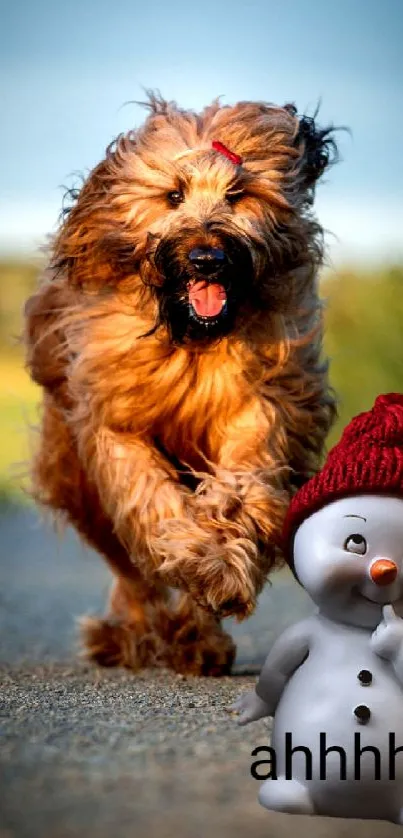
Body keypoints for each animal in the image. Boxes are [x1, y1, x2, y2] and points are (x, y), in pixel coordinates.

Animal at [24, 95, 338, 680]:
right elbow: (150, 497)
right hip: (76, 479)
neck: (191, 338)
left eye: (238, 194)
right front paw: (197, 560)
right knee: (129, 566)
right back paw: (133, 635)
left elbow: (240, 487)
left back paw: (196, 639)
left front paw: (219, 570)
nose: (206, 258)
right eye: (173, 195)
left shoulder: (259, 404)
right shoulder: (114, 421)